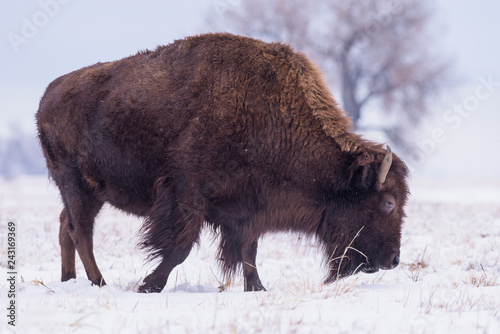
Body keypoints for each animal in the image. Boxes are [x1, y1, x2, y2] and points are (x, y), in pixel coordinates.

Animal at [36, 32, 410, 292]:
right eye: (388, 202)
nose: (393, 259)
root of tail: (48, 95)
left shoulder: (249, 208)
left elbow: (248, 251)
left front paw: (257, 288)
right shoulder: (187, 196)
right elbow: (179, 248)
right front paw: (149, 285)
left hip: (89, 192)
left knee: (66, 225)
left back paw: (70, 280)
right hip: (76, 183)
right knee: (80, 230)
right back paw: (98, 282)